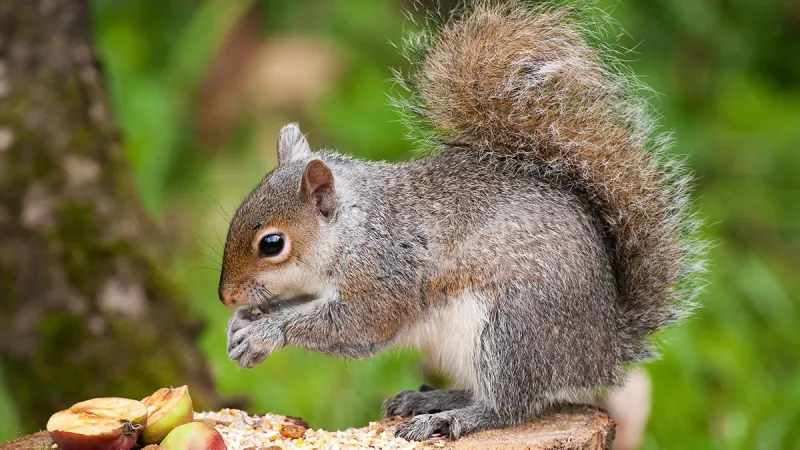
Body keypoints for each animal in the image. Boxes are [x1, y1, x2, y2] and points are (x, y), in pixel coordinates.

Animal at [219, 0, 708, 442]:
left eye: (272, 244)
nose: (225, 296)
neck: (355, 230)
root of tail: (603, 348)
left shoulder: (384, 278)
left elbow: (355, 326)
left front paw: (264, 332)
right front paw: (244, 323)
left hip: (509, 330)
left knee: (510, 406)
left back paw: (452, 419)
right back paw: (432, 398)